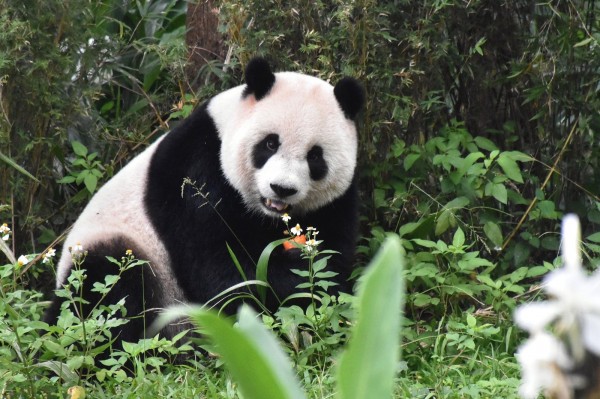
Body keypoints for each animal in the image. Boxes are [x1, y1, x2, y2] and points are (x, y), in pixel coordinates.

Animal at [44, 58, 364, 346]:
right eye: (270, 144)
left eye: (315, 156)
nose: (281, 189)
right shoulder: (198, 171)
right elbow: (219, 269)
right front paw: (292, 276)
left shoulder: (336, 202)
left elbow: (334, 258)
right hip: (118, 249)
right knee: (107, 294)